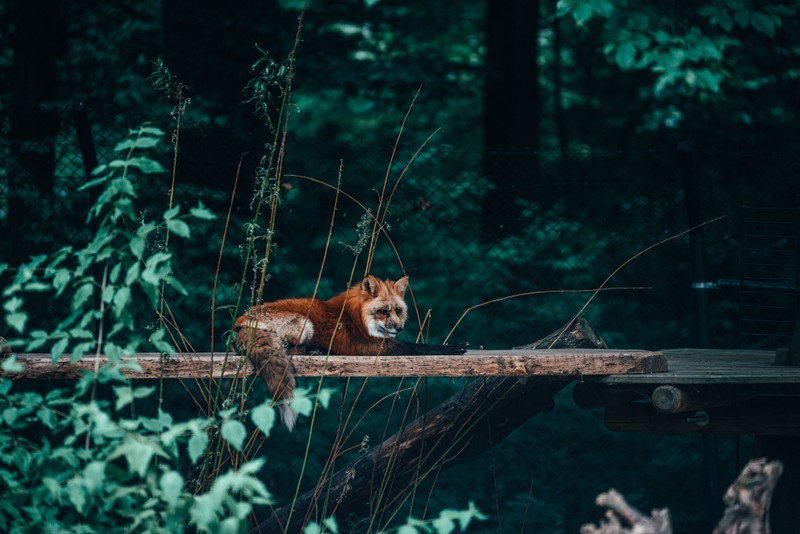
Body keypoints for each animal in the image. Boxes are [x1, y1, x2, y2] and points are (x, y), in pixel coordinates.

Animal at [234, 276, 466, 432]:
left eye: (398, 311)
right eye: (383, 311)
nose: (399, 328)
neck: (356, 316)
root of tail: (240, 322)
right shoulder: (373, 347)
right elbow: (421, 347)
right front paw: (454, 348)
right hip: (304, 323)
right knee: (292, 351)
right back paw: (320, 350)